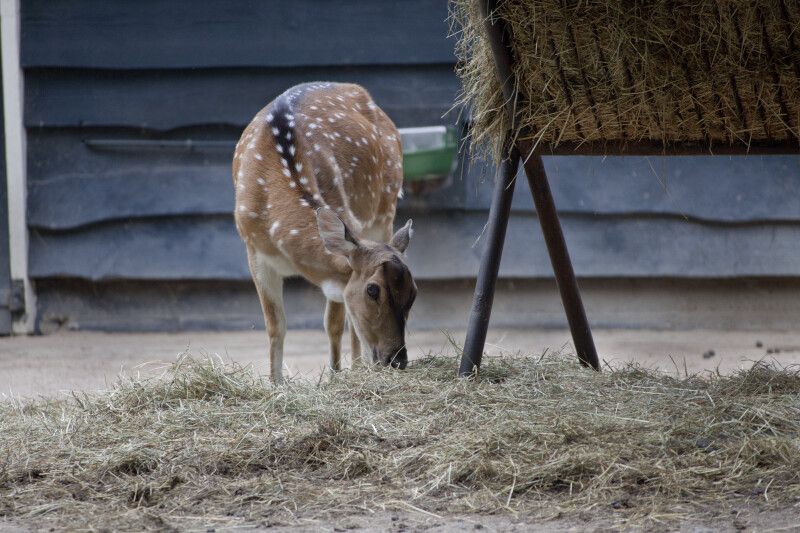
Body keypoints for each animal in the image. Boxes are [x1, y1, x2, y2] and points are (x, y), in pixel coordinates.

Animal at [231, 82, 418, 382]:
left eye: (414, 293)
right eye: (373, 290)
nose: (397, 360)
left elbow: (333, 324)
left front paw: (334, 376)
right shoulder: (254, 252)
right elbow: (275, 325)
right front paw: (275, 383)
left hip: (385, 209)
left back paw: (358, 366)